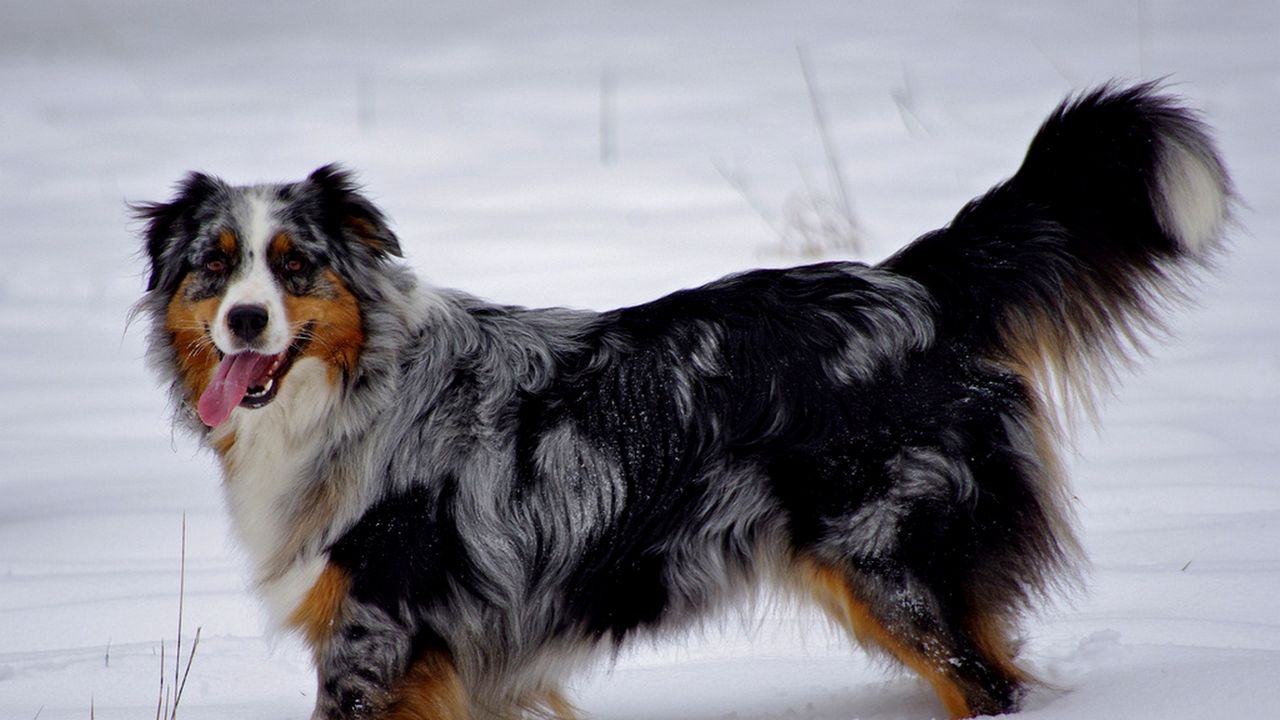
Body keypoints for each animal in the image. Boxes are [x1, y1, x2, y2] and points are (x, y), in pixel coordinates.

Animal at [137, 81, 1228, 712]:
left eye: (295, 265)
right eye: (214, 266)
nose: (246, 323)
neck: (355, 392)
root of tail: (908, 283)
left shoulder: (378, 633)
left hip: (892, 562)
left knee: (983, 685)